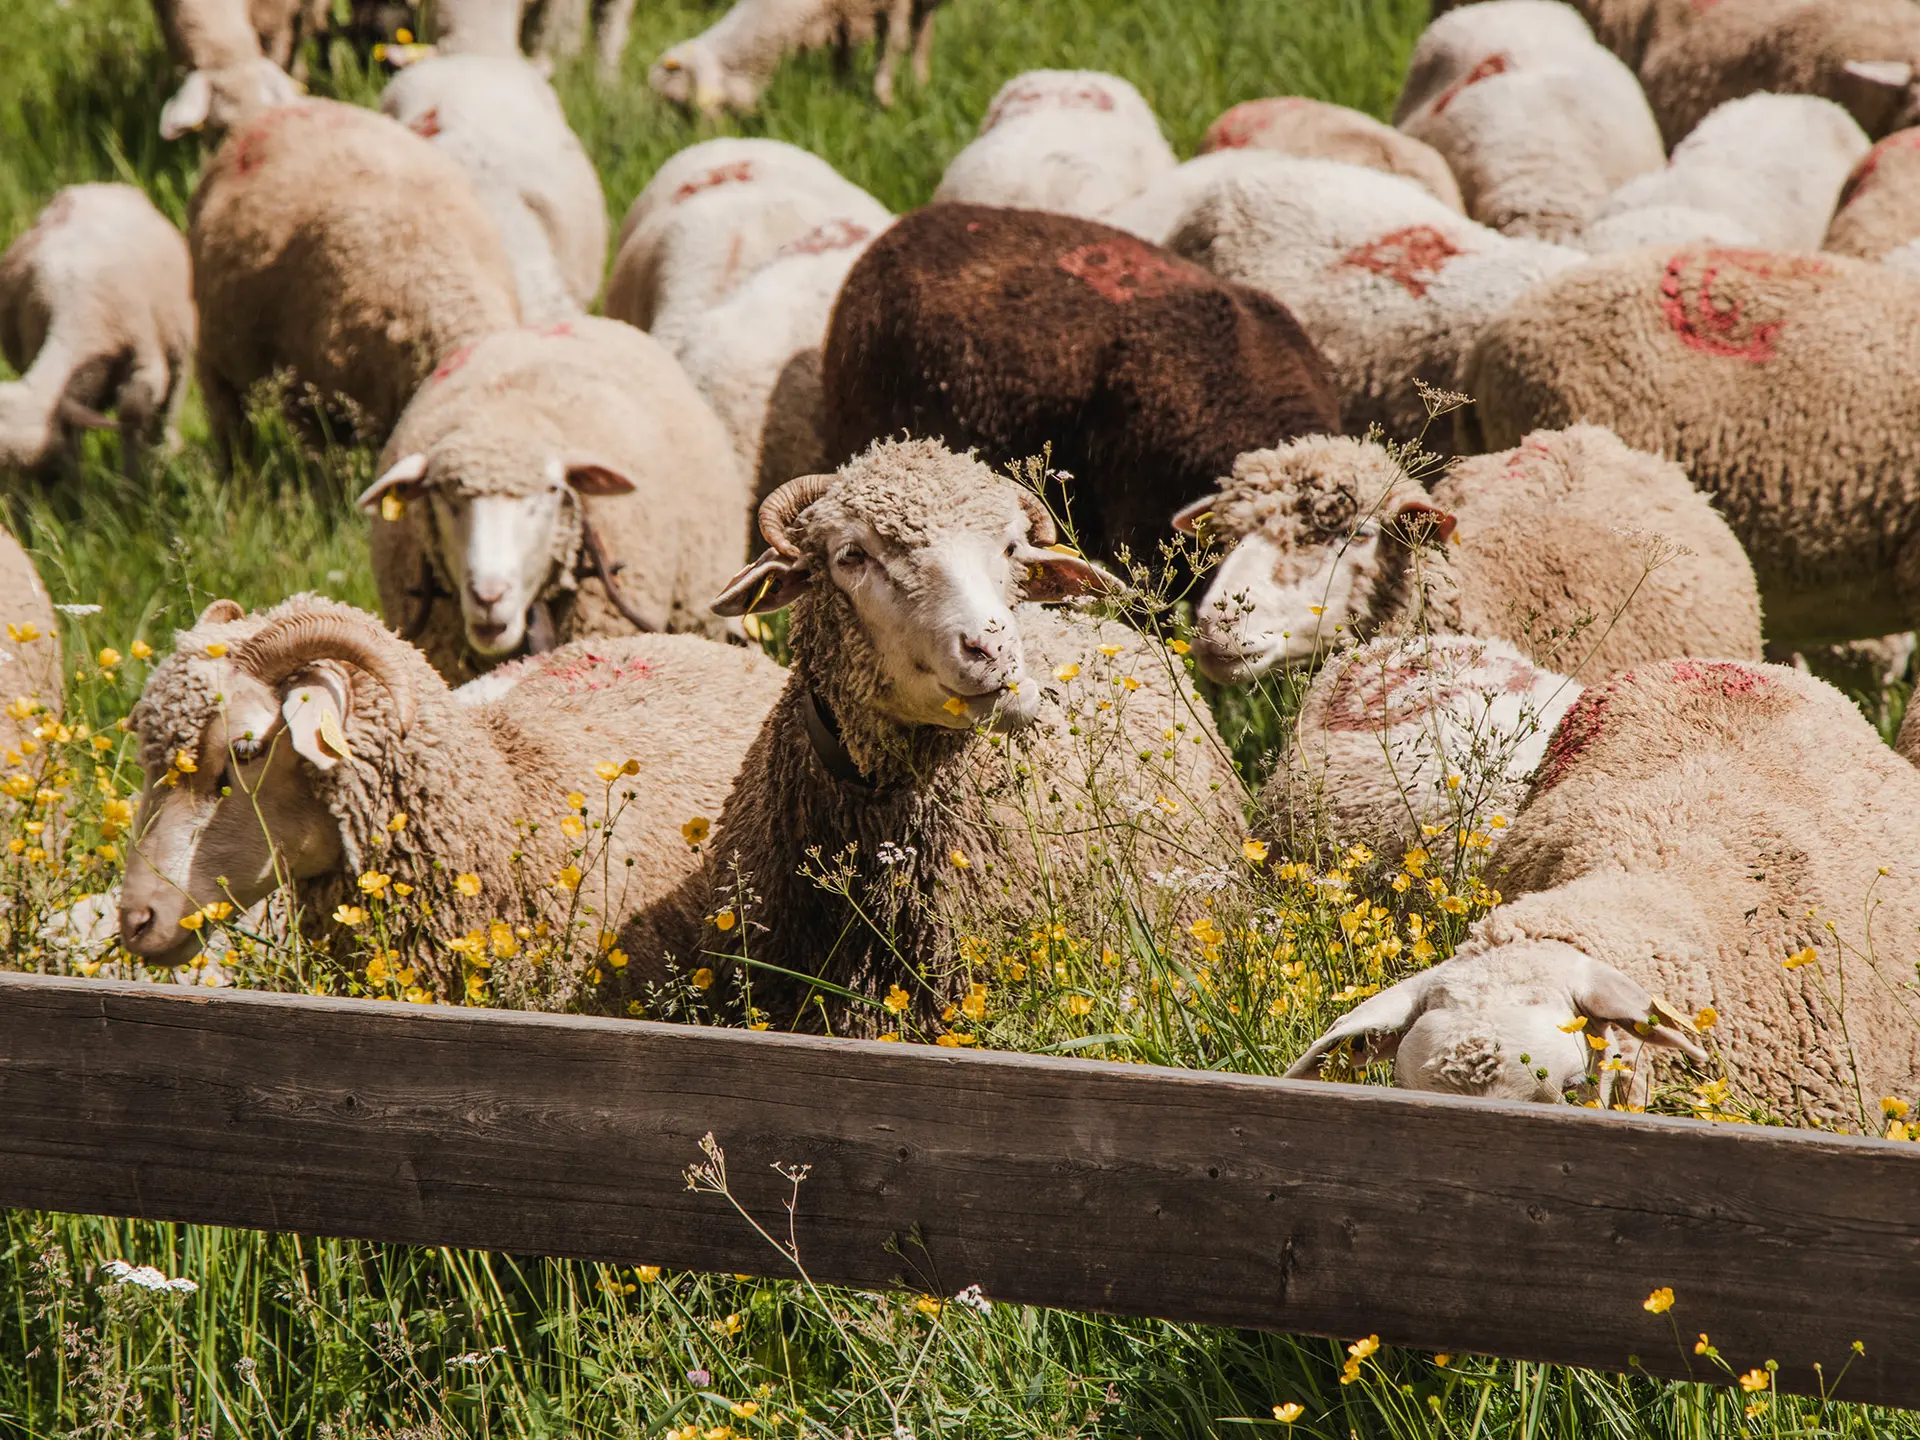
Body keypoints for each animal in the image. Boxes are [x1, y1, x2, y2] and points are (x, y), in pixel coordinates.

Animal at [0, 185, 195, 478]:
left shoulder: (145, 358)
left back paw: (164, 451)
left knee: (170, 403)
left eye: (47, 463)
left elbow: (131, 413)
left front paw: (133, 481)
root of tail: (95, 186)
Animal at [649, 0, 942, 115]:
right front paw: (841, 96)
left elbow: (893, 45)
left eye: (678, 101)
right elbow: (841, 61)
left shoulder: (897, 4)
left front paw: (884, 100)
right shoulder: (841, 18)